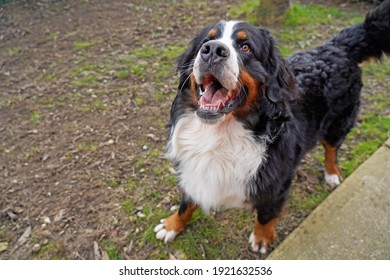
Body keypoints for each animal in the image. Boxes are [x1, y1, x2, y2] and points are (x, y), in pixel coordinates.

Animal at [153, 0, 390, 254]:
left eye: (246, 47)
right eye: (206, 41)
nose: (212, 50)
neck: (221, 133)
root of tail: (337, 46)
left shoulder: (277, 184)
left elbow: (266, 215)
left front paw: (262, 239)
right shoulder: (193, 170)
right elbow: (186, 202)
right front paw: (172, 225)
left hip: (339, 122)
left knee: (331, 149)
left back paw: (332, 173)